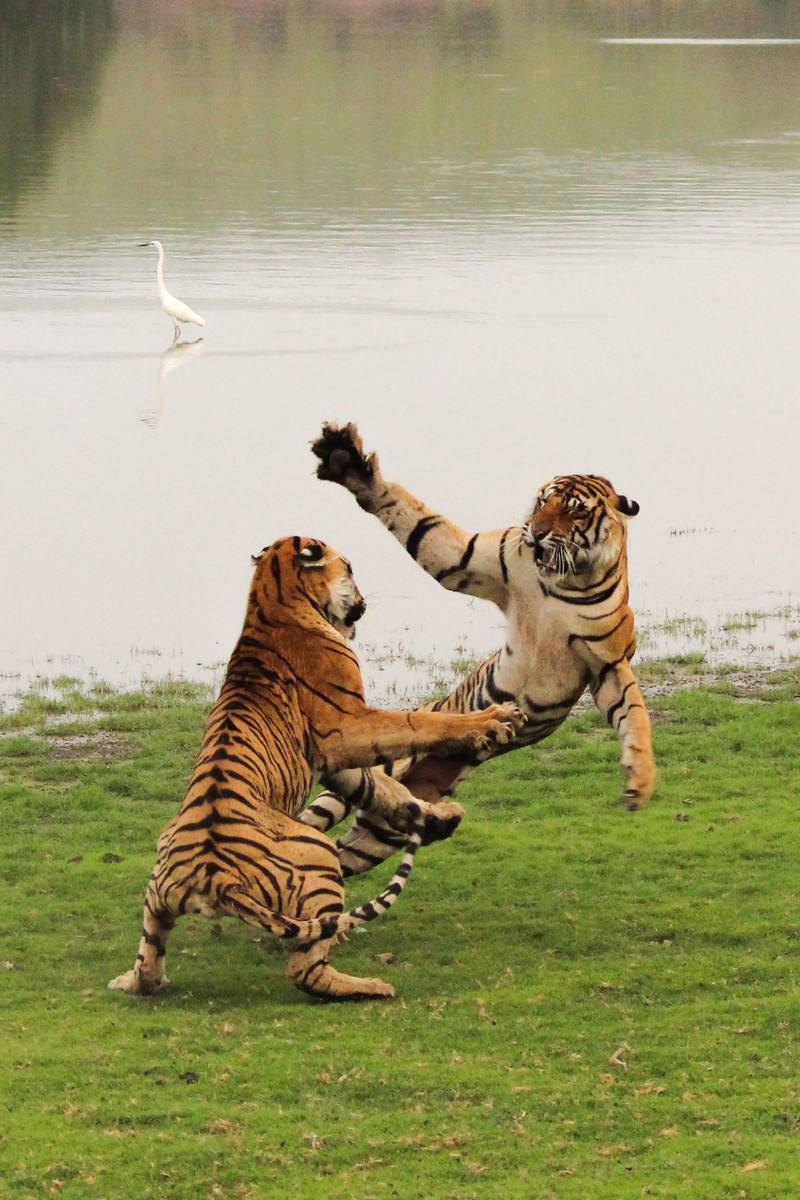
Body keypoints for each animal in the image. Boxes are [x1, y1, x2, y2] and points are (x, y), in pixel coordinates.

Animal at [109, 537, 522, 1003]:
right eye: (351, 569)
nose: (363, 600)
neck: (268, 601)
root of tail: (215, 878)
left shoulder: (330, 756)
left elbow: (382, 788)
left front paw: (437, 817)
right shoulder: (346, 727)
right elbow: (419, 725)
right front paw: (492, 721)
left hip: (157, 892)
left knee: (149, 959)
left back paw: (132, 980)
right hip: (318, 855)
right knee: (306, 969)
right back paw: (370, 986)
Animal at [299, 427, 657, 878]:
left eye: (574, 511)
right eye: (543, 501)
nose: (536, 532)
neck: (563, 579)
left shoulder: (608, 664)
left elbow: (636, 715)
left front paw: (639, 782)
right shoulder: (470, 559)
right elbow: (414, 516)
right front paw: (346, 459)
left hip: (382, 832)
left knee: (340, 852)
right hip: (366, 768)